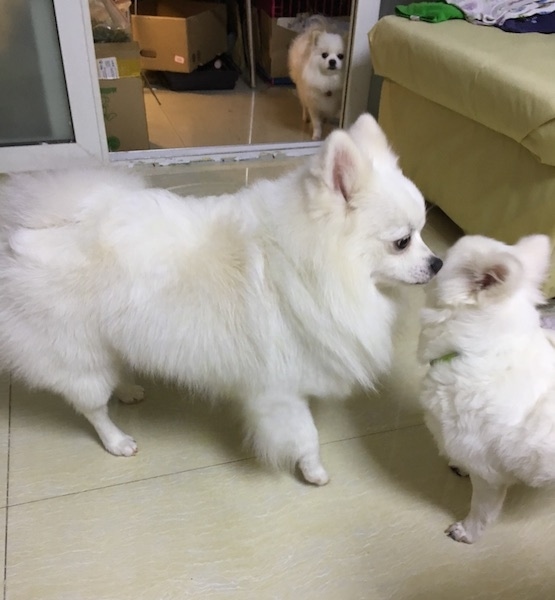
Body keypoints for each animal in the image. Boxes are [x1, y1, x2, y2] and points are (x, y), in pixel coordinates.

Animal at [0, 115, 444, 486]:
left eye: (424, 232)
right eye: (402, 242)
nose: (438, 262)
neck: (307, 262)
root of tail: (31, 227)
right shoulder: (280, 389)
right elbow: (306, 436)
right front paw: (314, 472)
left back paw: (127, 389)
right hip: (78, 355)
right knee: (92, 407)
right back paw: (117, 439)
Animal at [422, 234, 555, 544]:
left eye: (443, 262)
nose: (433, 260)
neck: (479, 351)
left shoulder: (489, 475)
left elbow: (482, 510)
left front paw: (467, 532)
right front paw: (458, 465)